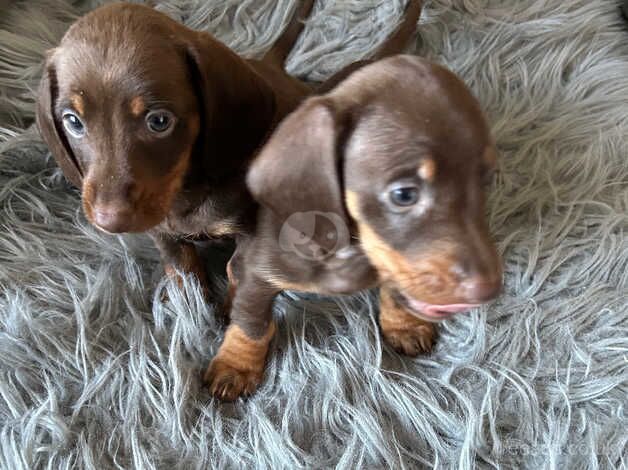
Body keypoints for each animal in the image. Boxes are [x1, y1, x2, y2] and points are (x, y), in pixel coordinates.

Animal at [206, 55, 500, 400]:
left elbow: (393, 288)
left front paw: (404, 323)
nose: (488, 291)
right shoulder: (260, 274)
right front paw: (236, 365)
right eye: (404, 194)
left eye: (486, 180)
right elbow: (252, 324)